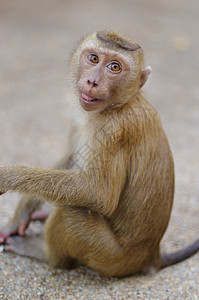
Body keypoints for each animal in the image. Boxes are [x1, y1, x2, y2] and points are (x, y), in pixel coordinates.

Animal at [0, 31, 199, 278]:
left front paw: (8, 176)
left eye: (114, 67)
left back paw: (44, 254)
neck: (115, 106)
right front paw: (23, 211)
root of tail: (150, 255)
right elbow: (73, 156)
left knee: (70, 214)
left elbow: (98, 193)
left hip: (110, 257)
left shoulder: (114, 131)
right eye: (93, 58)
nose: (92, 81)